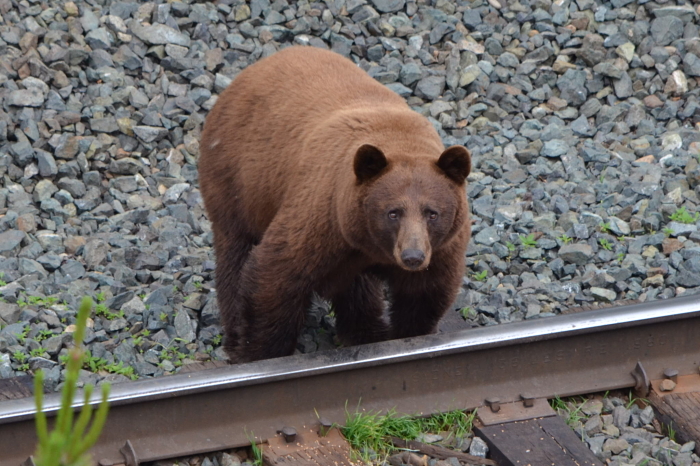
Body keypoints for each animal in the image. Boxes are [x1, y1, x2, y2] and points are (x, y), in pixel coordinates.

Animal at [198, 45, 470, 364]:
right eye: (393, 212)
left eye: (432, 213)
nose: (412, 256)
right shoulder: (323, 215)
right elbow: (274, 274)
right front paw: (258, 352)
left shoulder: (440, 248)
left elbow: (423, 296)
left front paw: (407, 336)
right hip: (237, 183)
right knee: (235, 256)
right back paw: (232, 335)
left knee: (357, 288)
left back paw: (365, 332)